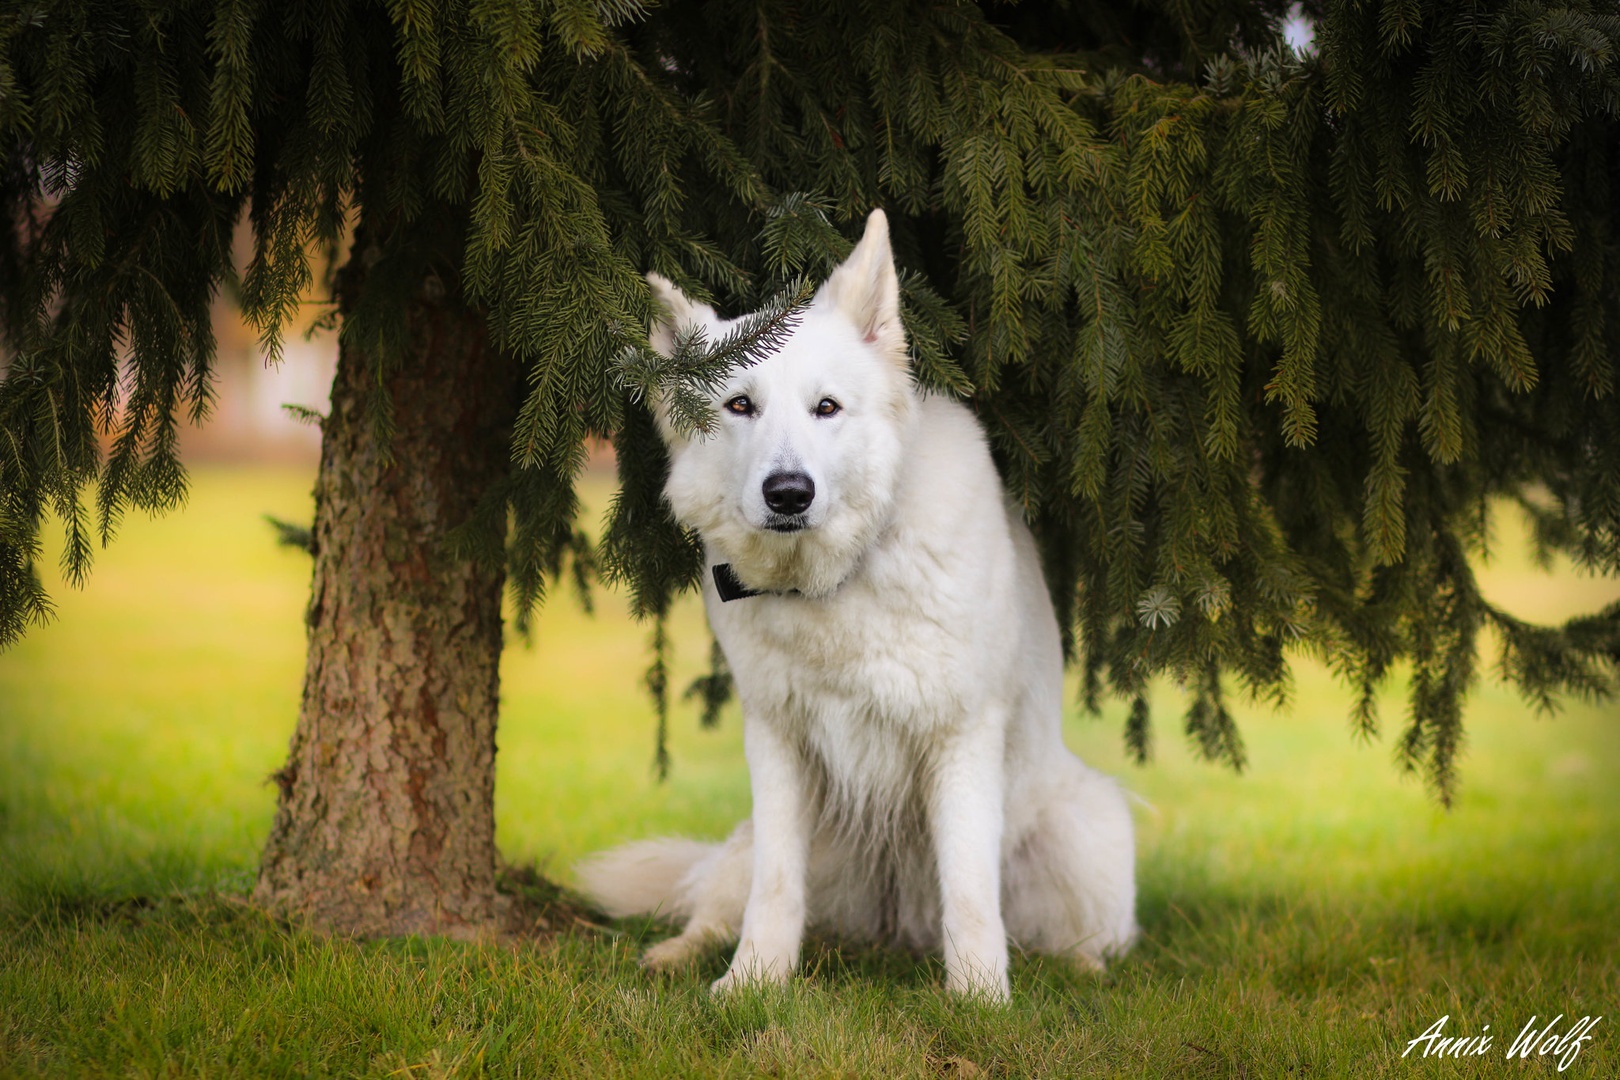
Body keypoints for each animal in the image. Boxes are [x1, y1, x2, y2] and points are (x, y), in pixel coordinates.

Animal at [578, 210, 1137, 999]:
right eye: (739, 405)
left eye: (827, 408)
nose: (788, 494)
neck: (836, 581)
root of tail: (892, 924)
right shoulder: (777, 745)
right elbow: (776, 889)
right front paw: (750, 985)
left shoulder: (961, 738)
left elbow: (971, 891)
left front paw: (980, 1000)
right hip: (770, 840)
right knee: (720, 899)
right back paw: (680, 954)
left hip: (1089, 830)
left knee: (1060, 934)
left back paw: (1080, 965)